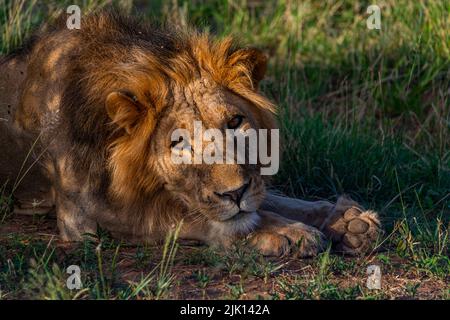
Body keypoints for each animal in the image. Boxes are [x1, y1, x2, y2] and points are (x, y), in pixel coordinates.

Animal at [0, 10, 382, 258]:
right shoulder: (83, 216)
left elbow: (274, 199)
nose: (235, 193)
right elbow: (199, 217)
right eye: (179, 143)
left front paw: (348, 223)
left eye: (235, 122)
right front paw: (287, 232)